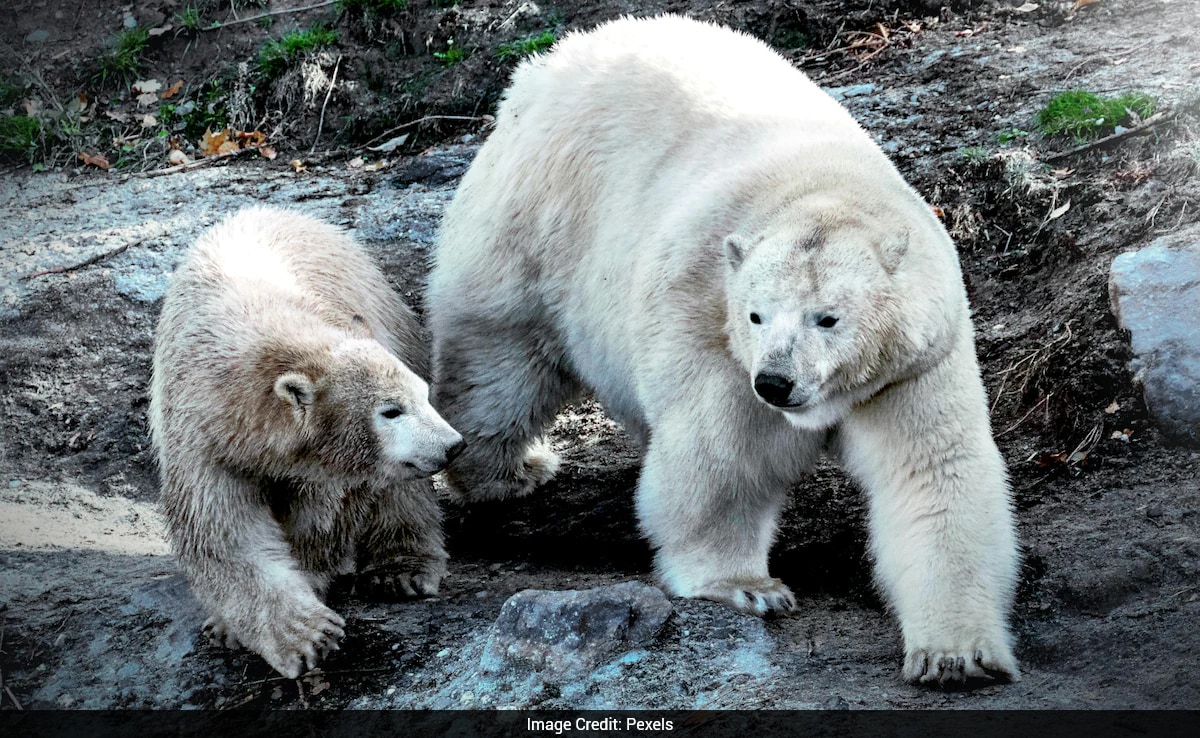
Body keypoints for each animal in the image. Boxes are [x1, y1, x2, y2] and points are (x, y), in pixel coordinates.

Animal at [149, 206, 463, 679]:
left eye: (421, 396)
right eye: (391, 410)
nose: (452, 445)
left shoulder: (326, 463)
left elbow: (322, 515)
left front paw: (311, 604)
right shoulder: (201, 438)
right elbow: (224, 535)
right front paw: (290, 634)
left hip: (390, 324)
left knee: (397, 492)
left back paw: (401, 570)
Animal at [426, 15, 1020, 685]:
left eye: (829, 318)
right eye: (756, 314)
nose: (777, 383)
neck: (820, 186)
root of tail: (548, 64)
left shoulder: (913, 362)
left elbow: (933, 473)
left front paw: (956, 656)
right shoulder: (711, 322)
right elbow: (724, 455)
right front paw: (748, 587)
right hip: (538, 220)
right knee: (500, 359)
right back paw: (507, 471)